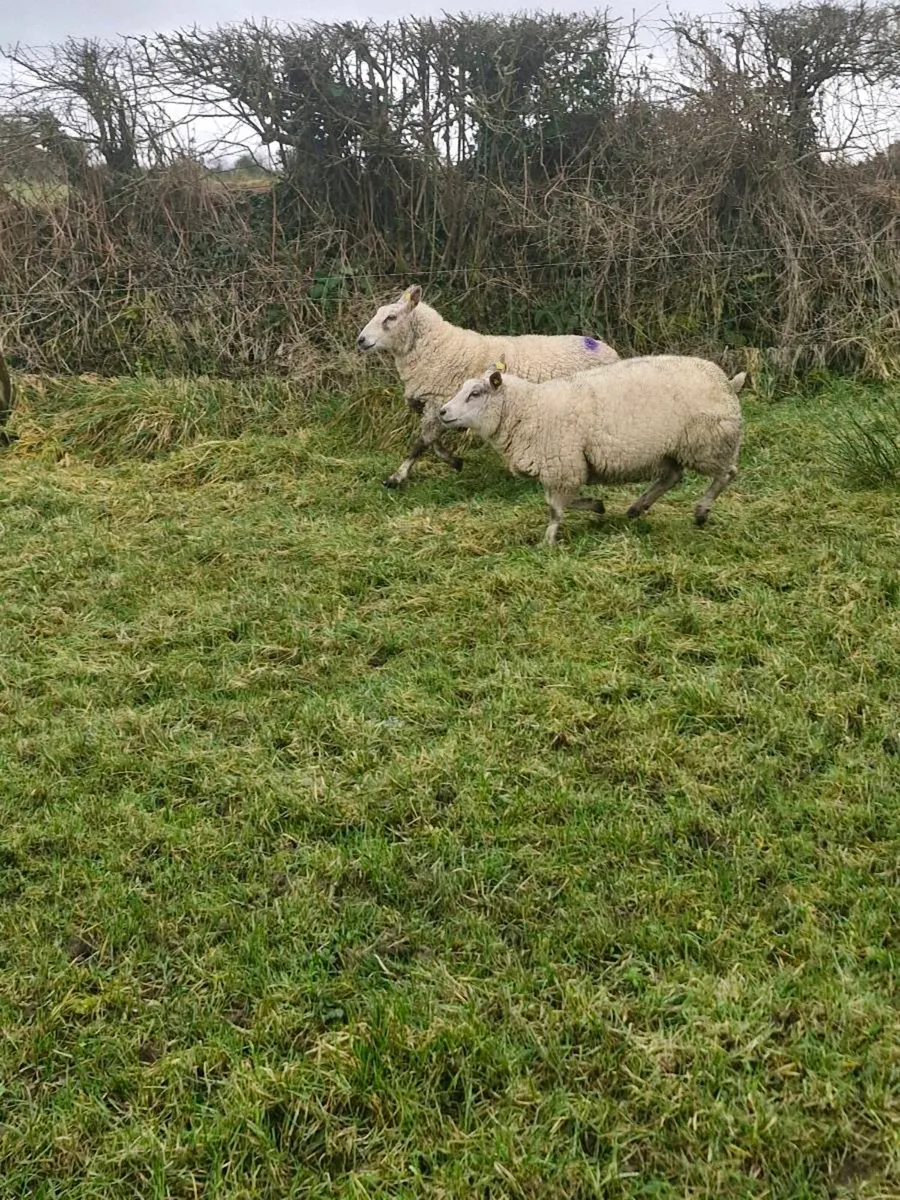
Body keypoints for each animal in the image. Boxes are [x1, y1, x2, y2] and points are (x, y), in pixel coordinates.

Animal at [356, 284, 619, 487]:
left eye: (391, 318)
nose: (361, 340)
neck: (437, 348)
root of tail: (609, 351)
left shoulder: (437, 401)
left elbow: (422, 443)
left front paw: (396, 478)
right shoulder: (439, 406)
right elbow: (432, 442)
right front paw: (455, 461)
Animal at [438, 356, 746, 544]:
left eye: (475, 394)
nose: (442, 412)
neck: (529, 409)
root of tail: (727, 382)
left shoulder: (563, 466)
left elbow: (555, 508)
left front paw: (548, 541)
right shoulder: (568, 468)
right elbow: (560, 503)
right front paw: (597, 505)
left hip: (707, 442)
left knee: (726, 473)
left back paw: (701, 511)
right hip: (669, 450)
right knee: (671, 477)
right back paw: (637, 507)